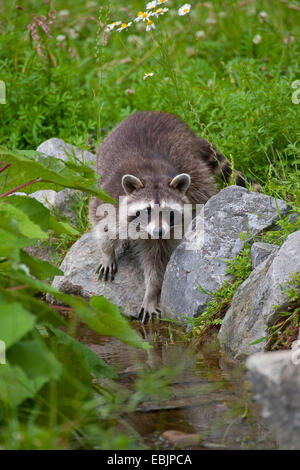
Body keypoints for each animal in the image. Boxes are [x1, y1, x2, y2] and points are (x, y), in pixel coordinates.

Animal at [89, 110, 260, 324]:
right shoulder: (109, 196)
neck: (152, 176)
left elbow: (157, 262)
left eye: (168, 212)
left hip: (190, 161)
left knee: (204, 188)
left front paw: (151, 293)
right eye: (147, 211)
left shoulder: (167, 233)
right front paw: (107, 252)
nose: (158, 231)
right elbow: (103, 224)